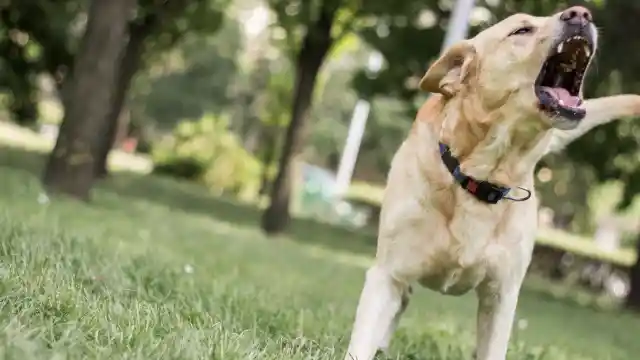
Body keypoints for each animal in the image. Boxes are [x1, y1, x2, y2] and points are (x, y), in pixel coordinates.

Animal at [344, 6, 640, 360]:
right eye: (521, 30)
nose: (581, 13)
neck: (480, 176)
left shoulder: (501, 295)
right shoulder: (387, 274)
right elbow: (364, 337)